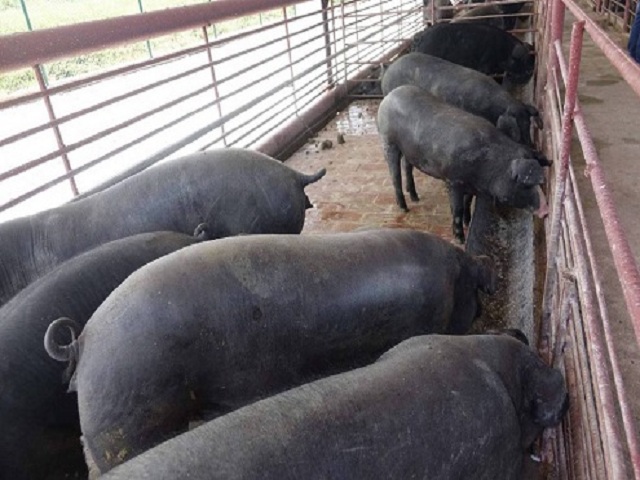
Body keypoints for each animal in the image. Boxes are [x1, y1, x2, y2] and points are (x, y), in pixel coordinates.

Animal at [378, 84, 548, 242]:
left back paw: (415, 197)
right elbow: (457, 209)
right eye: (526, 184)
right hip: (388, 141)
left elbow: (468, 201)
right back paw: (404, 208)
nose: (546, 211)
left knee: (407, 167)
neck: (489, 165)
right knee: (395, 175)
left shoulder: (473, 186)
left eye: (541, 182)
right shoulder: (453, 181)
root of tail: (390, 95)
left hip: (410, 150)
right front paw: (460, 239)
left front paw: (468, 222)